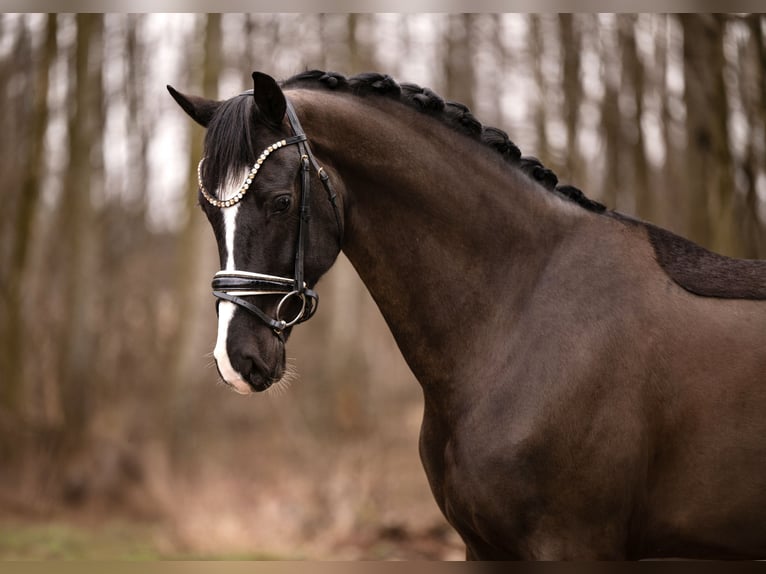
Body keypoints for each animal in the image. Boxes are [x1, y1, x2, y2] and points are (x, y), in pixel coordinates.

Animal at [168, 70, 766, 560]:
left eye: (280, 202)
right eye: (206, 210)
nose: (236, 359)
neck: (518, 313)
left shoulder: (572, 545)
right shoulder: (483, 548)